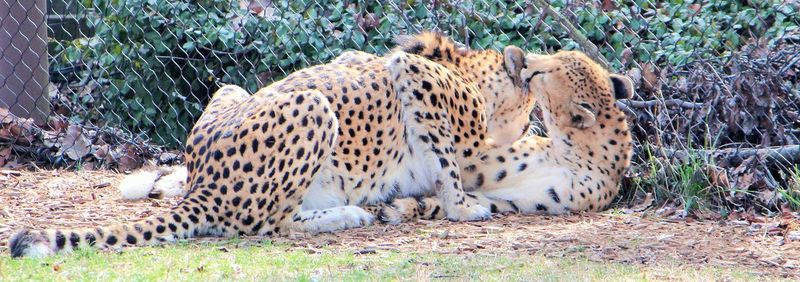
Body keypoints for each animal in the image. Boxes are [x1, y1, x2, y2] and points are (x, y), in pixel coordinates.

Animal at [7, 33, 536, 258]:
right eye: (530, 103)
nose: (533, 121)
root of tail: (204, 184)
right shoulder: (414, 74)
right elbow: (448, 163)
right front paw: (464, 208)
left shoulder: (356, 57)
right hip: (315, 107)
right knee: (269, 224)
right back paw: (346, 214)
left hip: (232, 91)